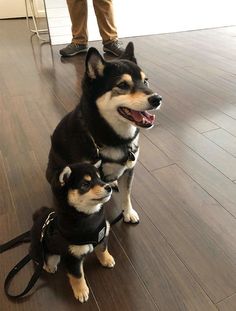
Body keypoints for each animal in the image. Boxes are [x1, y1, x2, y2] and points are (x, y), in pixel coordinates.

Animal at [46, 42, 162, 225]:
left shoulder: (129, 170)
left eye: (145, 81)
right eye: (123, 85)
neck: (116, 139)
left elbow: (127, 194)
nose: (157, 99)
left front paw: (128, 213)